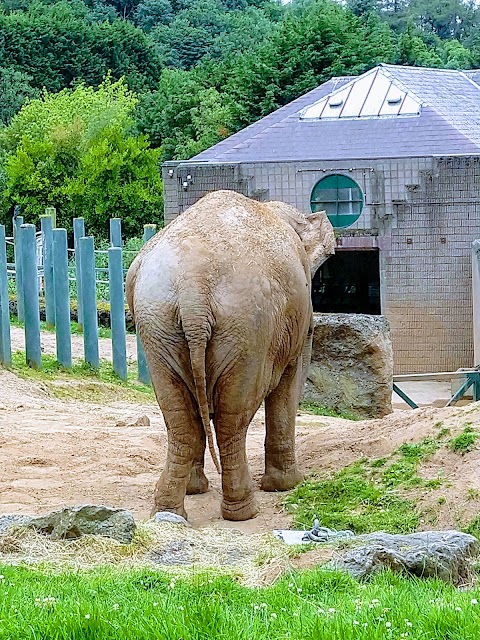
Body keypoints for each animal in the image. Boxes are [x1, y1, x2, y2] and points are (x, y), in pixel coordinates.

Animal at [125, 190, 334, 520]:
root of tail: (192, 286)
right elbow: (291, 379)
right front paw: (287, 485)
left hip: (157, 324)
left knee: (180, 418)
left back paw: (171, 509)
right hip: (247, 328)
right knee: (231, 418)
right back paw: (244, 511)